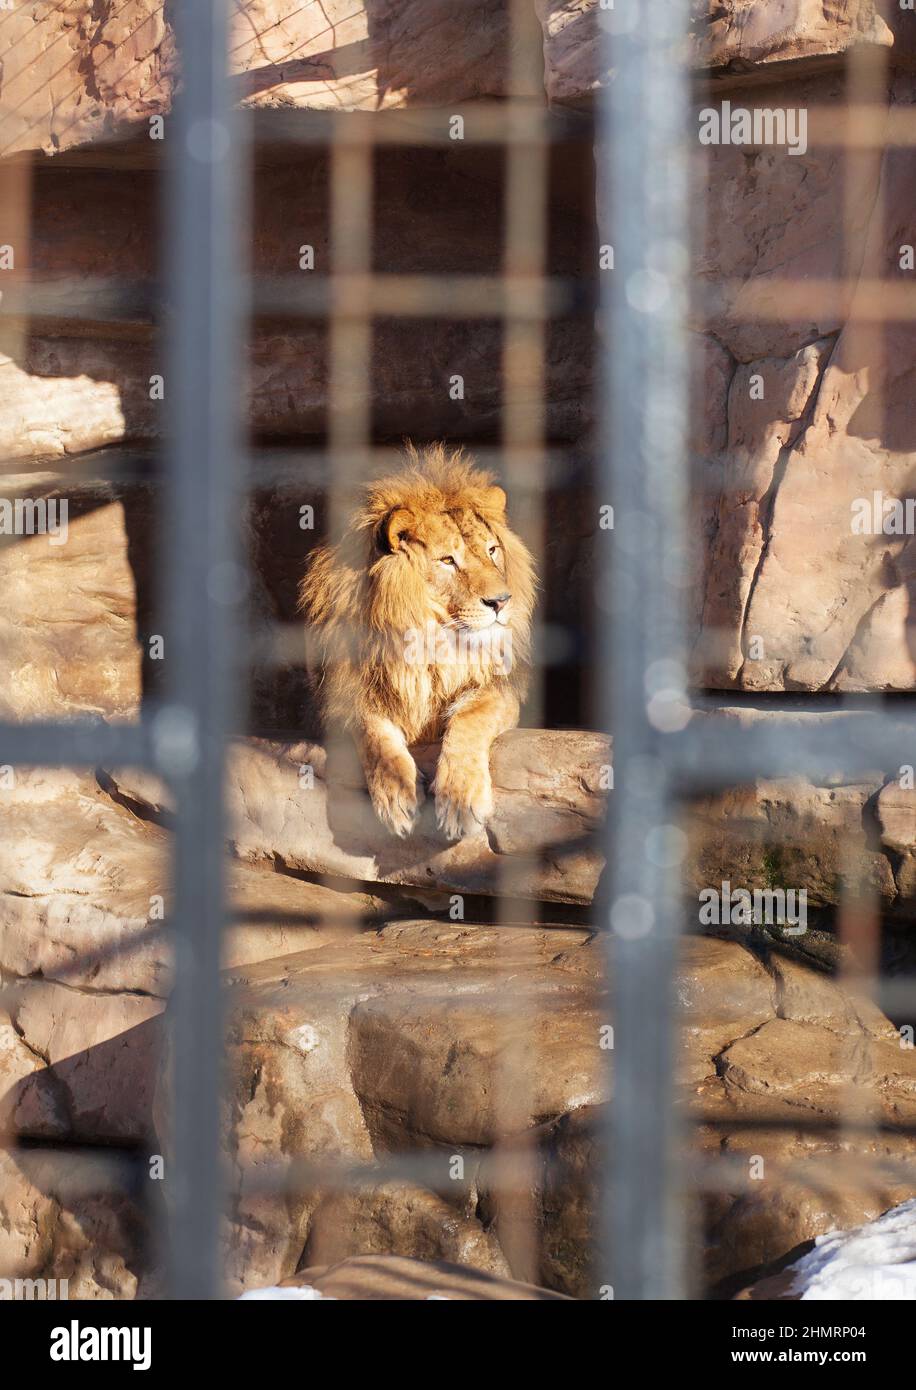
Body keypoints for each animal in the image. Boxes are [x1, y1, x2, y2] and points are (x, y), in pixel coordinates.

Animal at [299, 444, 537, 840]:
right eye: (447, 560)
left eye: (491, 551)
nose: (501, 601)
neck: (431, 642)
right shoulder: (346, 694)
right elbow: (372, 732)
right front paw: (396, 794)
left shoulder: (502, 689)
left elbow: (471, 716)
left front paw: (460, 800)